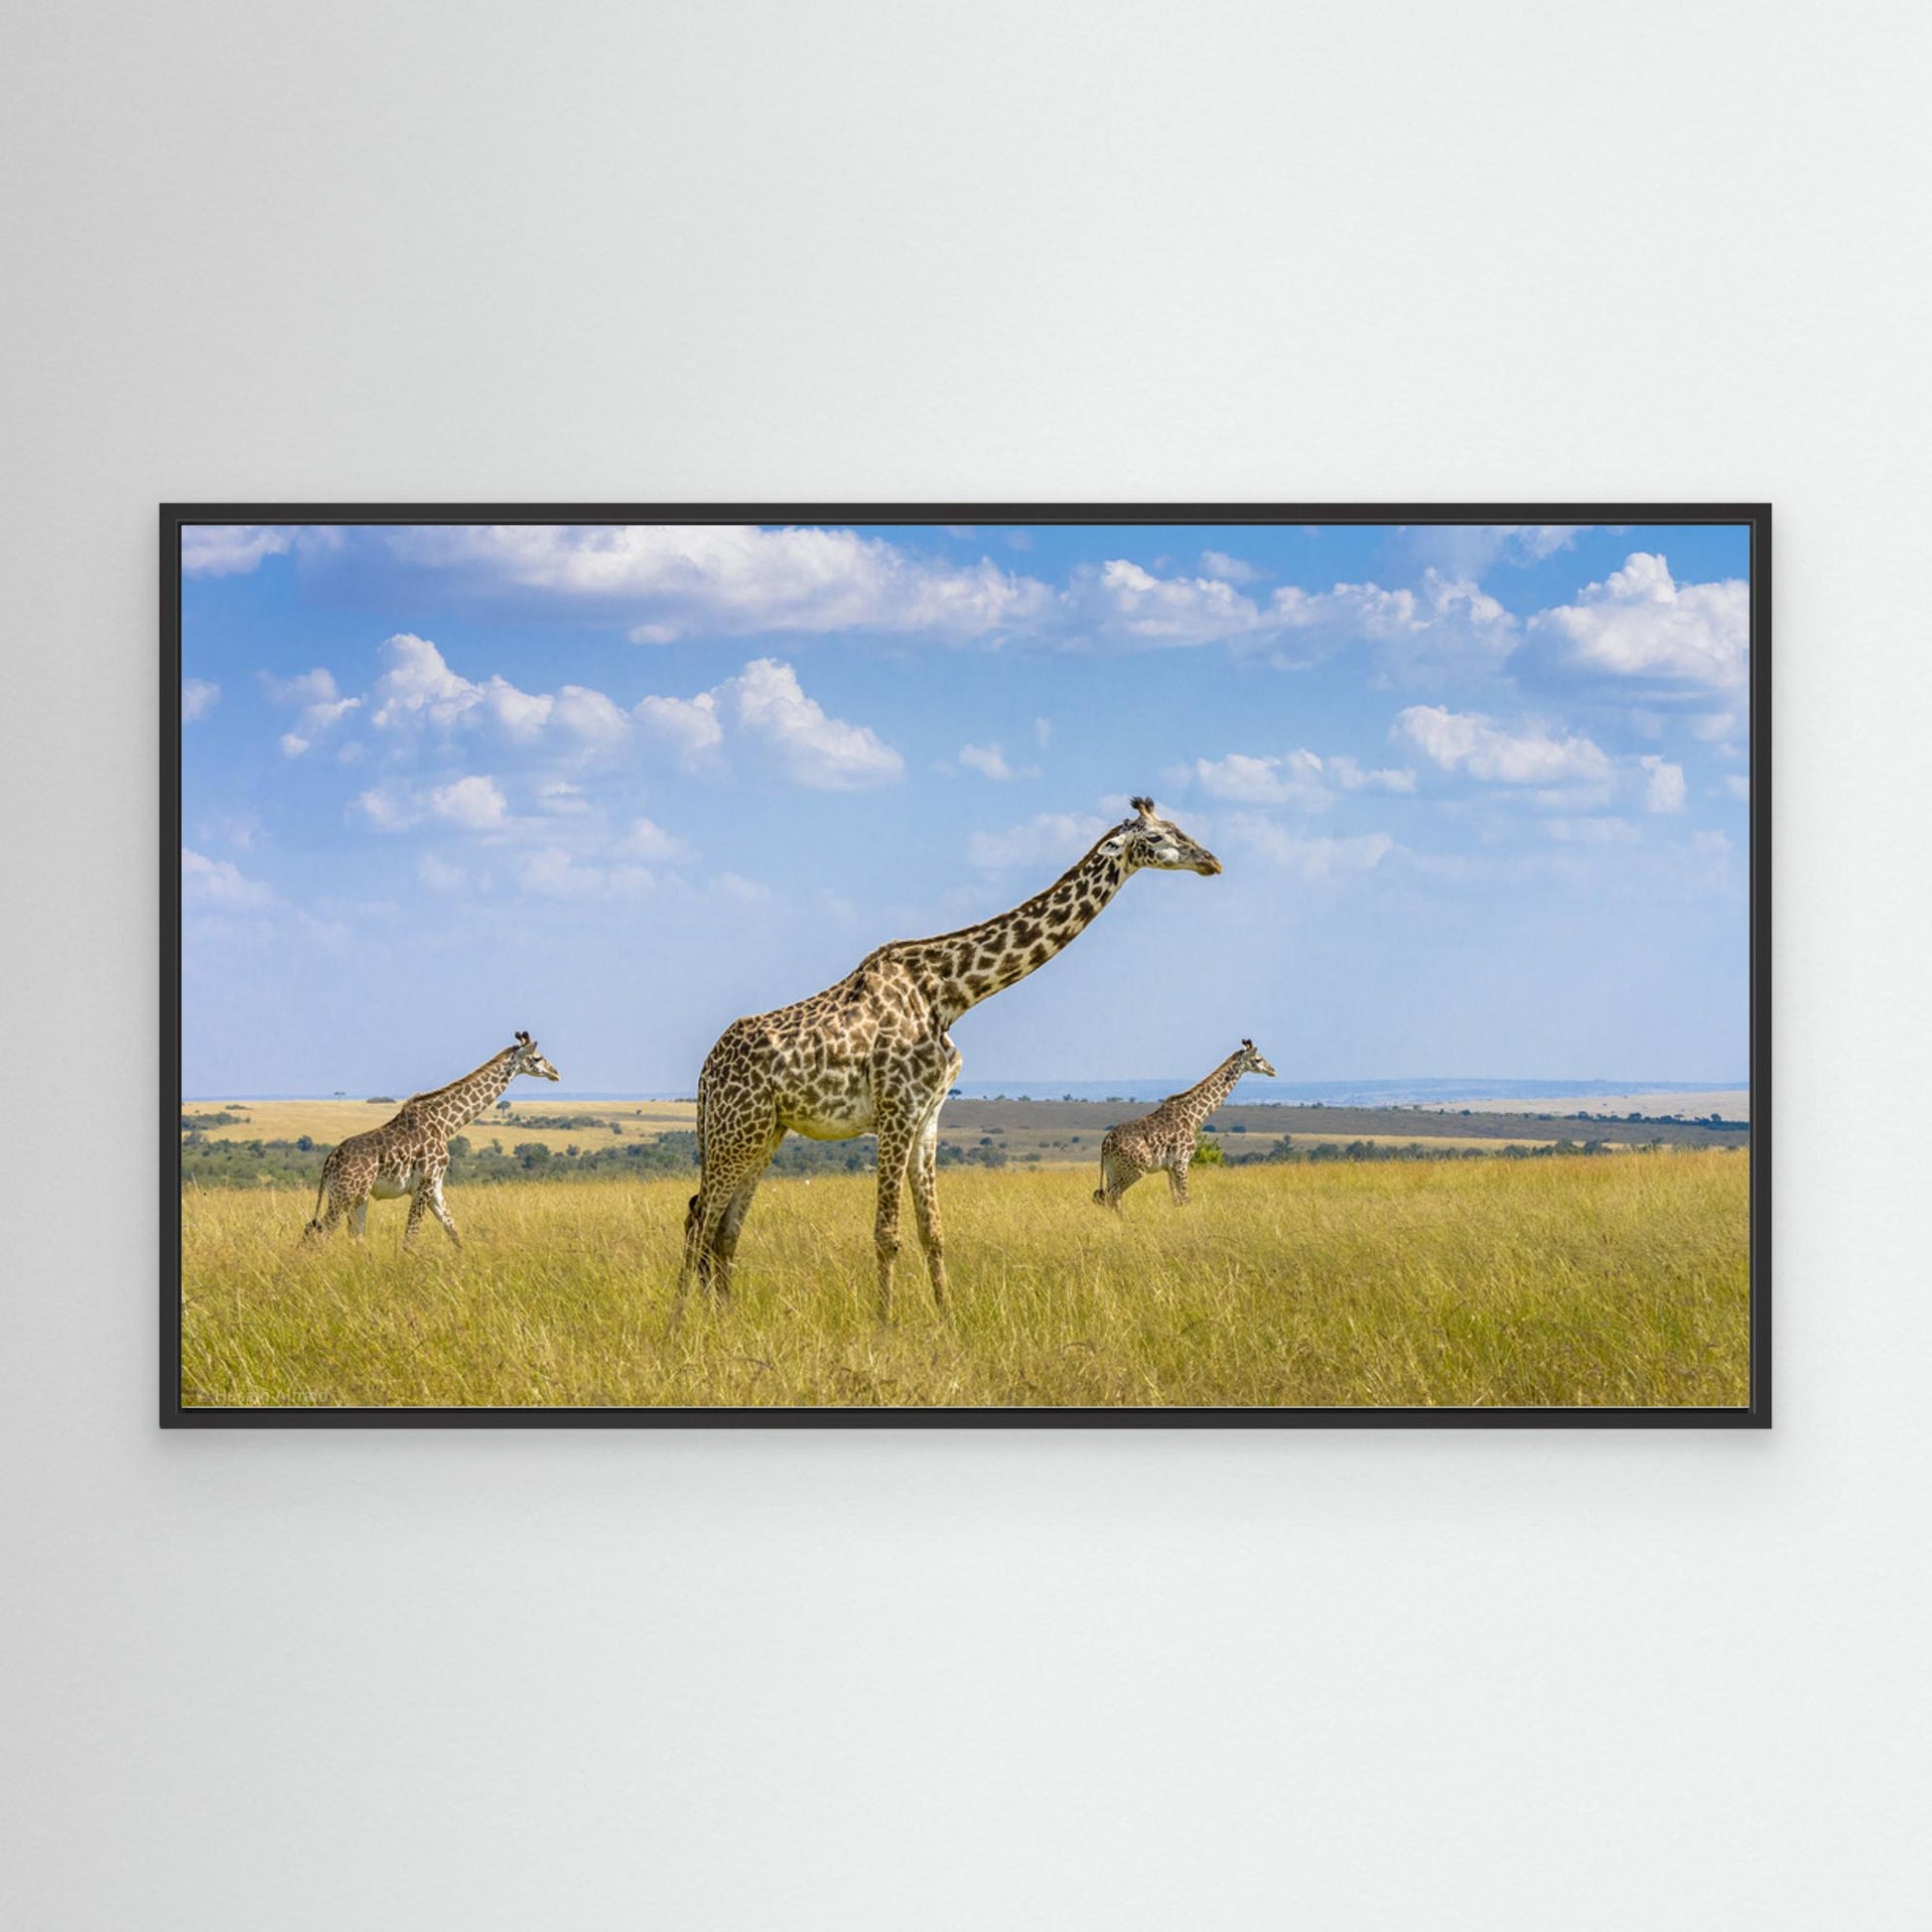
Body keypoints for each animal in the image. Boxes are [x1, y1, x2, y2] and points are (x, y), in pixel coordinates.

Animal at [302, 1031, 561, 1248]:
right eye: (537, 1058)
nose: (555, 1073)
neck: (446, 1124)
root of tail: (330, 1160)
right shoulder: (424, 1184)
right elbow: (410, 1238)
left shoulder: (435, 1187)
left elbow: (454, 1232)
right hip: (345, 1194)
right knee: (317, 1235)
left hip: (357, 1197)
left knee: (350, 1237)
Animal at [676, 797, 1222, 1322]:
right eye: (1158, 836)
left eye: (1179, 828)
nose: (1211, 861)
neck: (949, 994)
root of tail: (705, 1071)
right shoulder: (895, 1110)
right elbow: (887, 1232)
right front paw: (885, 1326)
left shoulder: (927, 1115)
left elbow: (932, 1231)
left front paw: (947, 1320)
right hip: (733, 1131)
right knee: (698, 1221)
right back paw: (679, 1327)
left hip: (764, 1133)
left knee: (723, 1230)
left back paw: (726, 1321)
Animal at [1093, 1039, 1277, 1210]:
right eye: (1258, 1059)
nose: (1272, 1070)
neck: (1193, 1116)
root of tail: (1106, 1142)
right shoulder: (1181, 1161)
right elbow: (1185, 1199)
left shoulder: (1170, 1167)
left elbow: (1176, 1200)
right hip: (1136, 1168)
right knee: (1113, 1195)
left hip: (1112, 1169)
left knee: (1108, 1197)